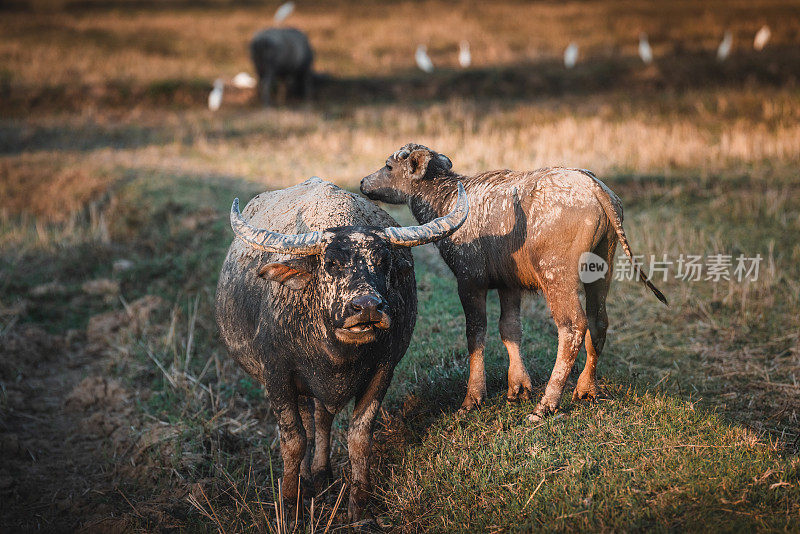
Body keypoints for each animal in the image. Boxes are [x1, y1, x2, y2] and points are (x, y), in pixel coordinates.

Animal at [216, 178, 472, 524]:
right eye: (332, 264)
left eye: (384, 262)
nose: (367, 307)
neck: (337, 355)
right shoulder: (277, 376)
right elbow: (293, 440)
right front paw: (291, 506)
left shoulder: (383, 370)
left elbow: (359, 437)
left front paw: (358, 507)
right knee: (310, 423)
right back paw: (307, 479)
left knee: (322, 417)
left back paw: (321, 474)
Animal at [360, 144, 664, 420]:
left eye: (388, 166)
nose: (363, 183)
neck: (447, 202)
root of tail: (595, 187)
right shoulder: (509, 284)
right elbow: (510, 329)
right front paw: (518, 387)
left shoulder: (469, 281)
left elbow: (476, 333)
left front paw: (473, 397)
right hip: (602, 267)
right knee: (598, 320)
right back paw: (586, 388)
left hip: (556, 274)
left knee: (573, 326)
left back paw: (547, 403)